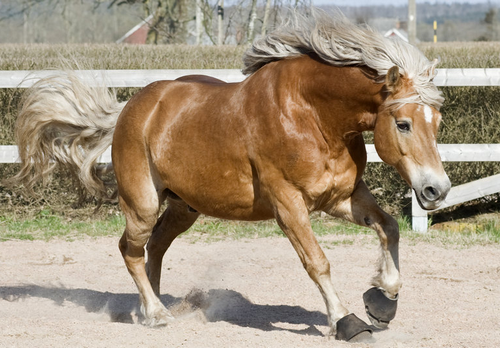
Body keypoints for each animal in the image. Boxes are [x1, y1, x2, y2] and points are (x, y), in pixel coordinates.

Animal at [10, 10, 450, 340]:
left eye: (438, 121)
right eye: (404, 124)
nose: (436, 189)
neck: (312, 115)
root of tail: (129, 108)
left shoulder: (342, 197)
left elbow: (388, 226)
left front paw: (383, 302)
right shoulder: (288, 205)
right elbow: (317, 262)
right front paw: (346, 321)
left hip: (183, 208)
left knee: (154, 248)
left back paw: (149, 308)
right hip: (142, 202)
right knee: (131, 250)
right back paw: (156, 314)